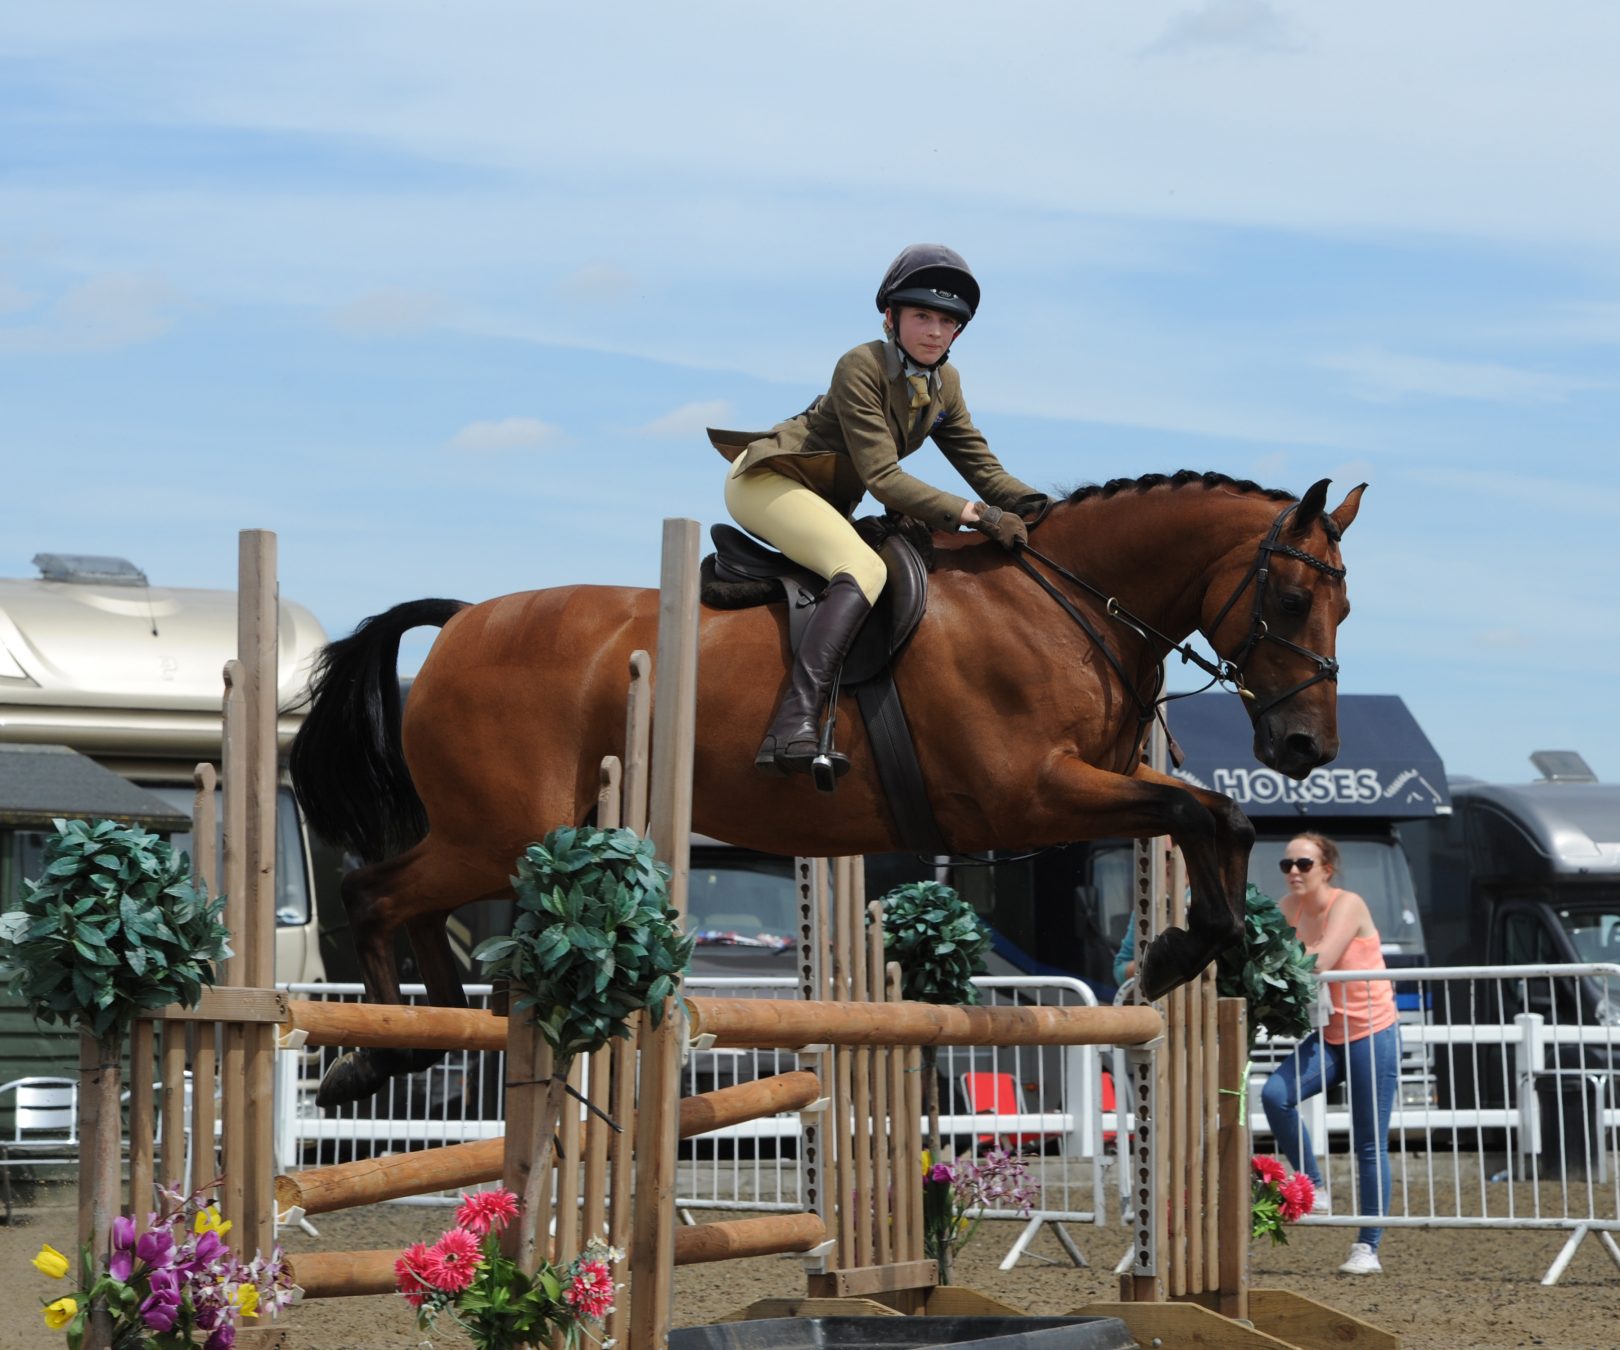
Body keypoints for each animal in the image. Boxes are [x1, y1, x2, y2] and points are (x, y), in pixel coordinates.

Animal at [292, 470, 1364, 1106]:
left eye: (1344, 607)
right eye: (1291, 598)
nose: (1305, 745)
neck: (1065, 605)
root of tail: (465, 619)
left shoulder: (1101, 775)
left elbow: (1220, 816)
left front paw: (1186, 948)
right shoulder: (1025, 793)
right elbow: (1192, 807)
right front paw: (1180, 952)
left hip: (508, 833)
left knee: (408, 907)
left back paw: (419, 1030)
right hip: (500, 830)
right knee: (370, 891)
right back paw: (373, 1054)